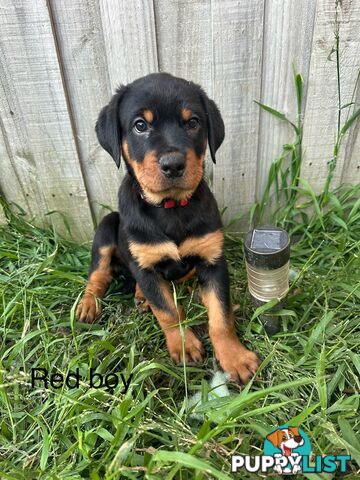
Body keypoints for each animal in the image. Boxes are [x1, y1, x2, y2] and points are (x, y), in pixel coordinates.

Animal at [78, 73, 258, 384]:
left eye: (193, 122)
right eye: (140, 125)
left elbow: (221, 316)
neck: (170, 207)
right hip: (107, 227)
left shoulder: (212, 260)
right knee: (98, 274)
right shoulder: (144, 264)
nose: (173, 165)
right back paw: (90, 304)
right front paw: (184, 345)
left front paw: (234, 357)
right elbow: (168, 312)